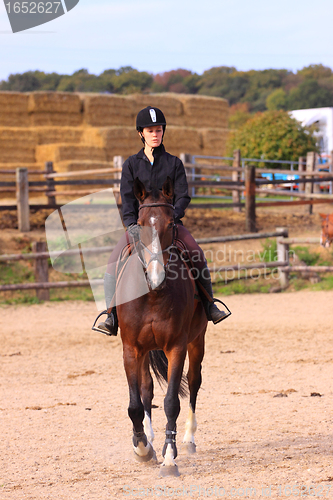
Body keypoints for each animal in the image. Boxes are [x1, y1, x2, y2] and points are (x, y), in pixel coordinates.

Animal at [116, 176, 205, 476]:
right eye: (140, 224)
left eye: (171, 224)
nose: (156, 277)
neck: (153, 294)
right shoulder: (131, 349)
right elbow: (135, 404)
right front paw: (142, 448)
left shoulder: (177, 347)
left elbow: (171, 402)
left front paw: (169, 458)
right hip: (143, 351)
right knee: (146, 389)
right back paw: (148, 437)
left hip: (197, 341)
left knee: (195, 381)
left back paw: (189, 439)